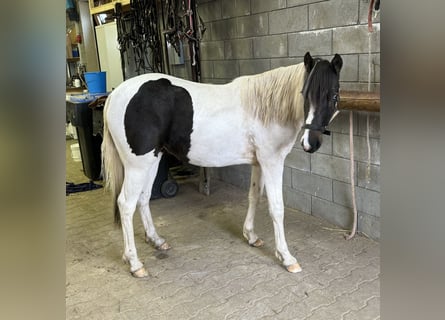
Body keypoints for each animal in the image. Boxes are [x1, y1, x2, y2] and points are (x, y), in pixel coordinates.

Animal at [102, 51, 342, 276]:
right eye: (305, 94)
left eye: (334, 95)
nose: (311, 143)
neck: (267, 108)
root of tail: (115, 95)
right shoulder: (272, 162)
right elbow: (277, 208)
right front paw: (286, 257)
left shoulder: (259, 163)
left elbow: (254, 196)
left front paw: (251, 236)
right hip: (137, 166)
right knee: (126, 204)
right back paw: (135, 263)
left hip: (152, 161)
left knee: (143, 198)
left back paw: (156, 240)